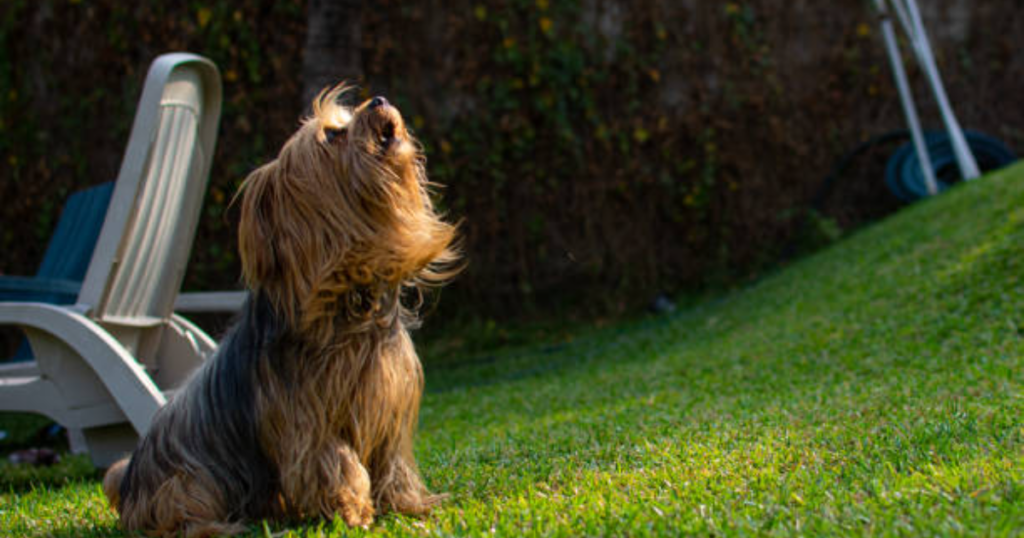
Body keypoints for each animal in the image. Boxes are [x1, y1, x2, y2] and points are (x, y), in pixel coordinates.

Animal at [102, 86, 460, 532]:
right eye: (333, 135)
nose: (378, 99)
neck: (347, 295)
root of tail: (129, 481)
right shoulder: (304, 417)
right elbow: (333, 460)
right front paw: (351, 509)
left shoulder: (388, 401)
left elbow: (391, 460)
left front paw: (407, 503)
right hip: (189, 479)